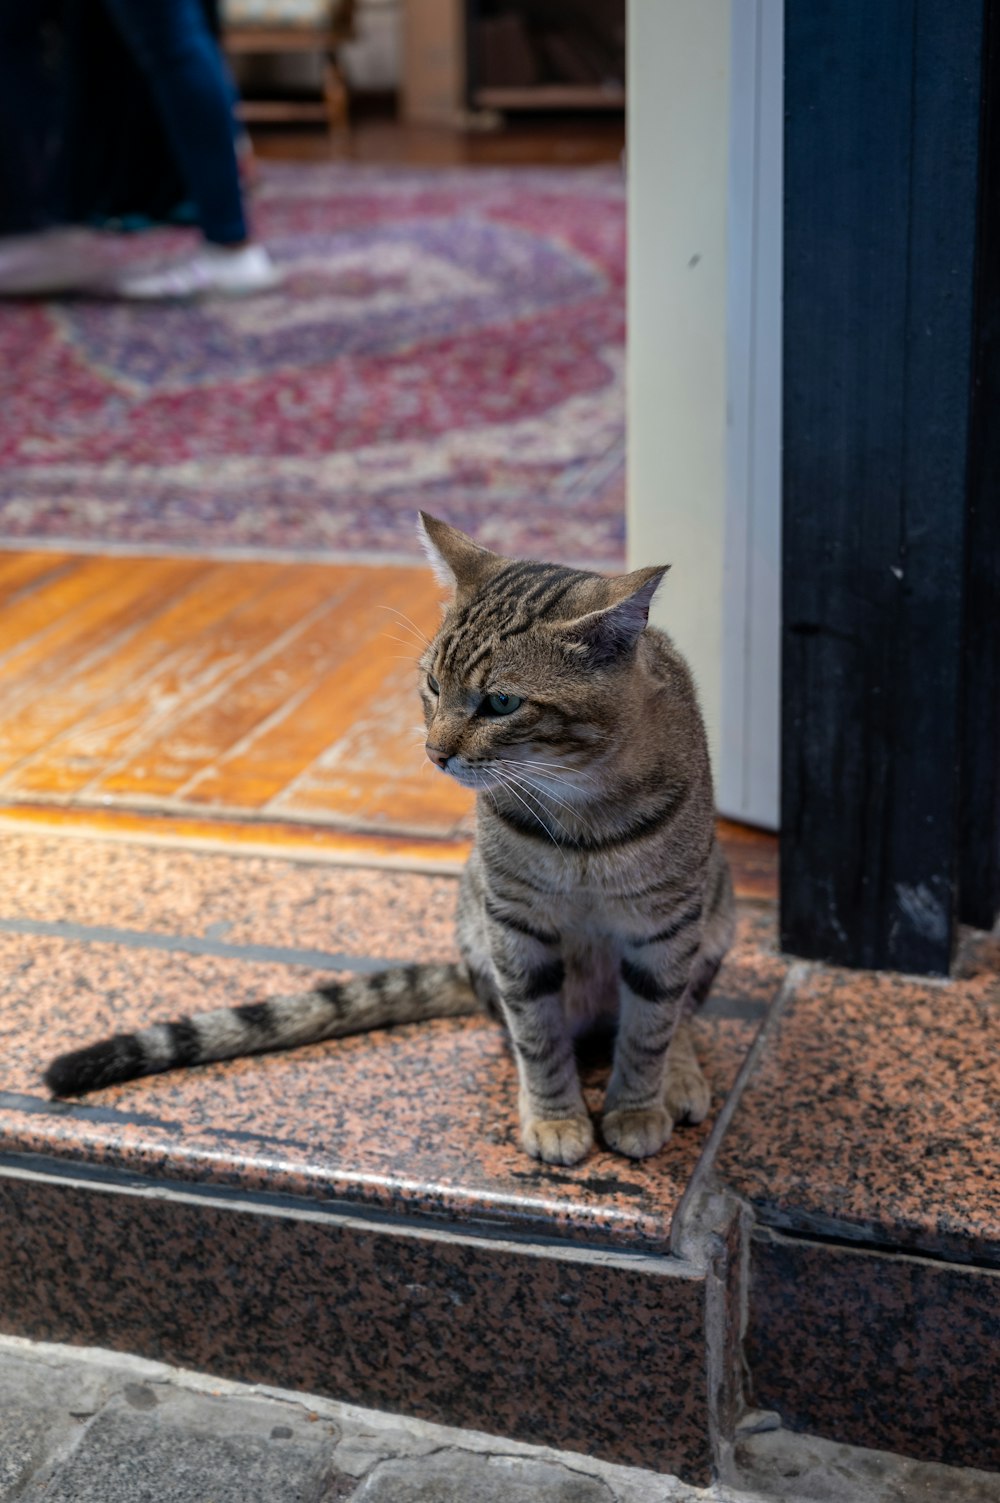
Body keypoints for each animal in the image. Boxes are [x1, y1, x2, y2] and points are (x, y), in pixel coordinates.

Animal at [44, 514, 733, 1160]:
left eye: (502, 703)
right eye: (432, 686)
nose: (434, 752)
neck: (580, 808)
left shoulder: (664, 925)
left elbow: (648, 1030)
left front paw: (637, 1107)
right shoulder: (514, 923)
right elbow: (537, 1035)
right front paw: (555, 1116)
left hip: (713, 918)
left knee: (678, 1016)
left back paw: (680, 1076)